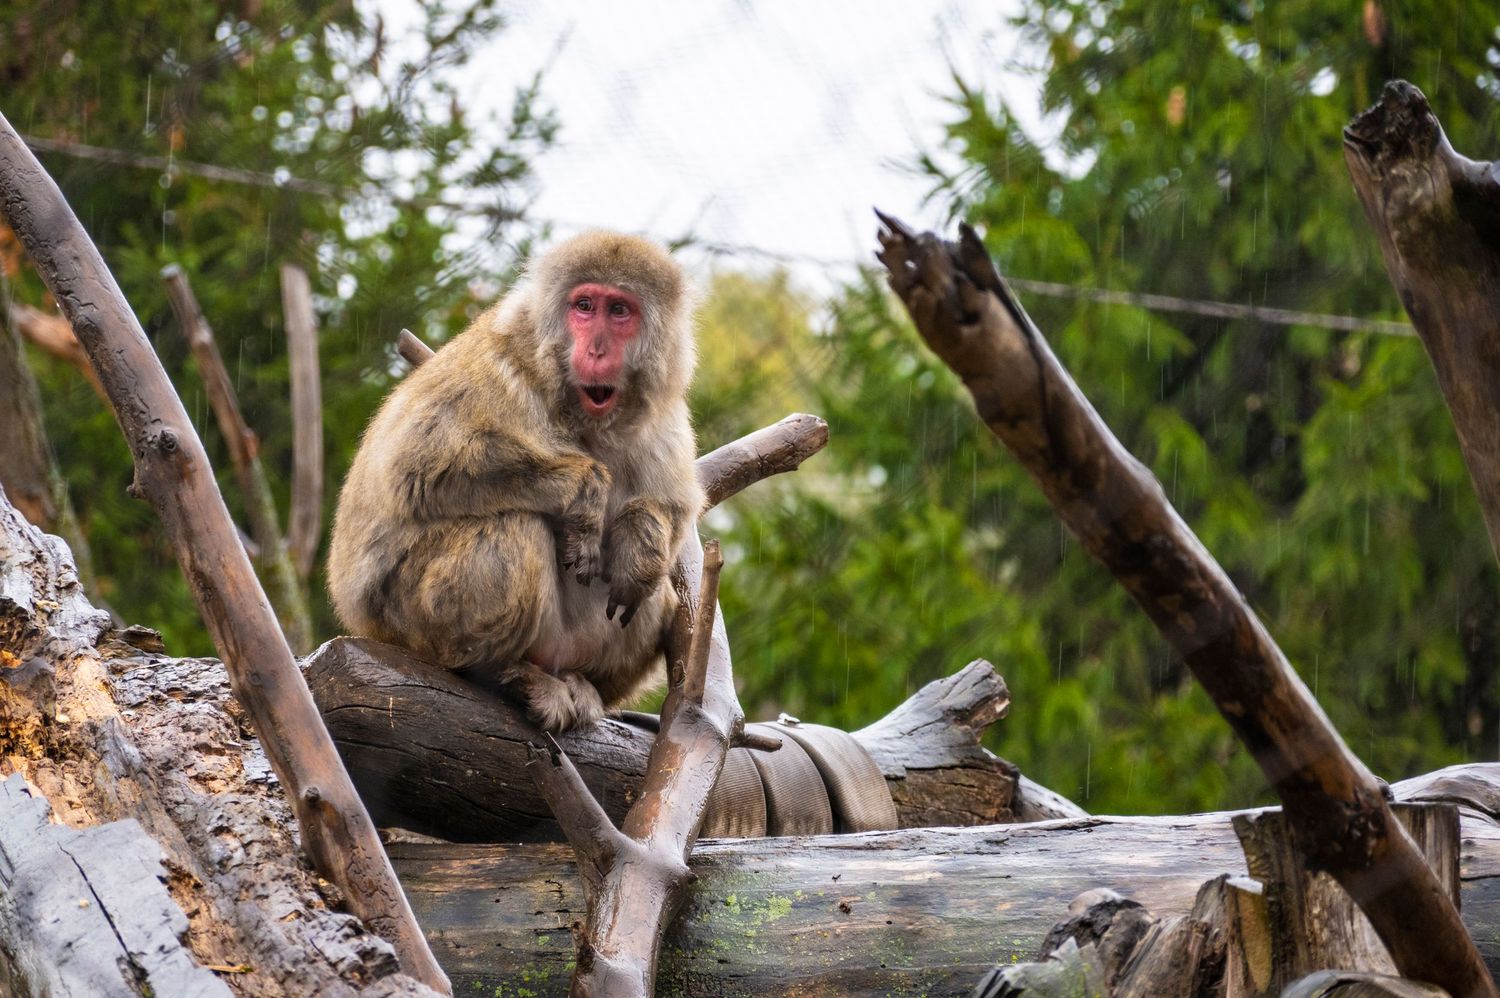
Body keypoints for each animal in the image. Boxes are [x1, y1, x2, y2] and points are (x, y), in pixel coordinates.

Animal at [326, 231, 703, 732]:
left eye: (619, 310)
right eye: (585, 306)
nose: (596, 350)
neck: (579, 416)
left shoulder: (661, 414)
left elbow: (674, 506)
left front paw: (640, 543)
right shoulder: (498, 370)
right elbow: (415, 469)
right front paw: (585, 491)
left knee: (656, 591)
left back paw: (586, 680)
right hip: (409, 617)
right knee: (515, 527)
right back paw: (500, 671)